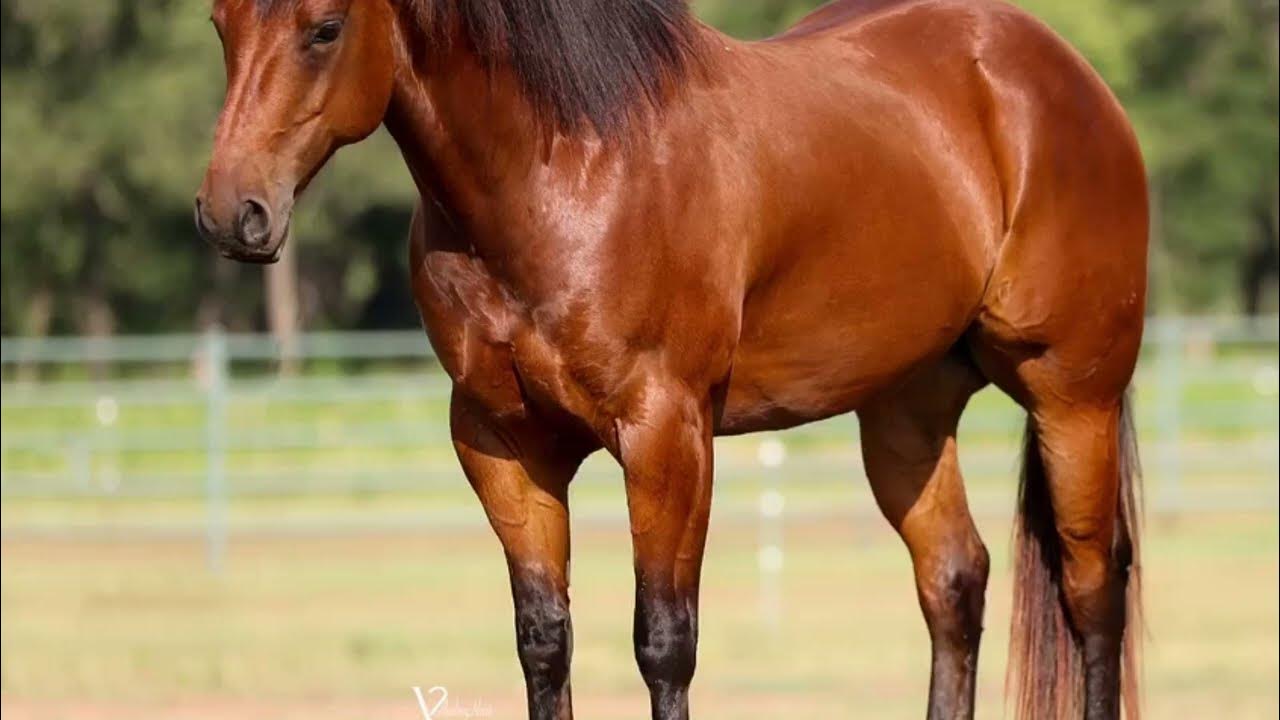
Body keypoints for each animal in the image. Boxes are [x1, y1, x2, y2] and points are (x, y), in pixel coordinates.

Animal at [194, 1, 1147, 718]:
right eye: (219, 21)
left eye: (323, 27)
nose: (231, 214)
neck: (567, 170)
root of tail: (1059, 73)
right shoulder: (502, 445)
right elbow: (544, 640)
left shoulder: (666, 435)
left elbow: (663, 641)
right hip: (905, 412)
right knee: (954, 580)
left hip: (1073, 396)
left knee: (1093, 587)